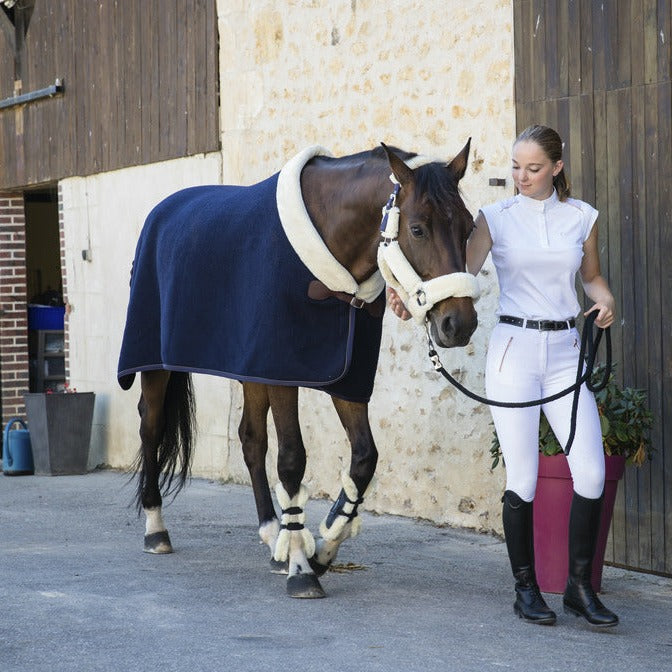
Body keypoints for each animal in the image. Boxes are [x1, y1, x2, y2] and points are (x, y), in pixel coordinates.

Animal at [118, 142, 480, 600]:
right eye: (417, 229)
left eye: (468, 228)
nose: (458, 324)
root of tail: (161, 212)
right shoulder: (283, 374)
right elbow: (292, 460)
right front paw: (302, 569)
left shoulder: (343, 378)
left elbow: (364, 459)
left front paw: (322, 546)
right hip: (157, 366)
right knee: (151, 426)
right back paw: (156, 528)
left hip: (252, 372)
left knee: (251, 441)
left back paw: (273, 535)